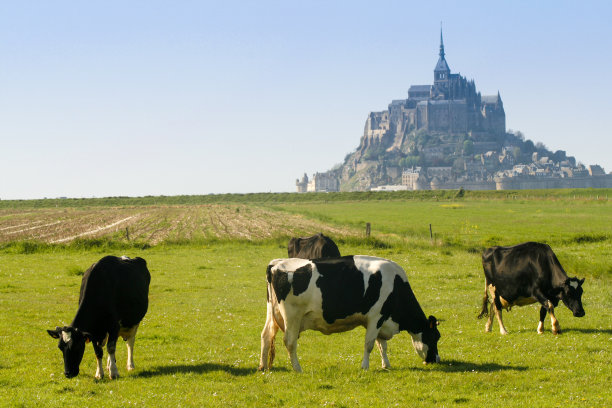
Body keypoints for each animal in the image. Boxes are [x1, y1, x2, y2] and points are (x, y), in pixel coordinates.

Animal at [258, 256, 440, 372]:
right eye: (435, 337)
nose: (436, 360)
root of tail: (276, 264)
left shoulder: (381, 319)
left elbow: (382, 345)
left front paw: (386, 365)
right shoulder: (376, 317)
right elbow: (370, 344)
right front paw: (365, 366)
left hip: (272, 314)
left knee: (266, 335)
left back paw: (263, 367)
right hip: (292, 315)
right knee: (289, 341)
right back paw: (297, 368)